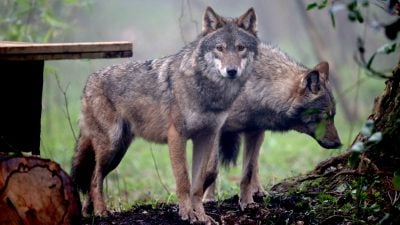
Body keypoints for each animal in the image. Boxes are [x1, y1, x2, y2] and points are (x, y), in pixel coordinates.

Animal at [71, 6, 260, 223]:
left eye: (240, 48)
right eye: (219, 48)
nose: (231, 71)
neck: (208, 92)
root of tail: (88, 82)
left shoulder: (207, 138)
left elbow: (198, 184)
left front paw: (202, 217)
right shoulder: (177, 136)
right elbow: (183, 181)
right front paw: (188, 215)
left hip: (117, 152)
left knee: (92, 178)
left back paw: (89, 213)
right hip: (112, 147)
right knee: (94, 179)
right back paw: (102, 212)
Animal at [205, 43, 342, 210]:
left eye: (333, 116)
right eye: (325, 117)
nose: (339, 143)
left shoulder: (254, 131)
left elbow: (248, 172)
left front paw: (247, 203)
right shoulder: (215, 131)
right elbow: (211, 169)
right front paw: (206, 199)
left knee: (255, 165)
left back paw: (258, 191)